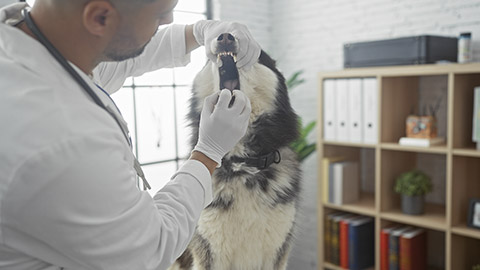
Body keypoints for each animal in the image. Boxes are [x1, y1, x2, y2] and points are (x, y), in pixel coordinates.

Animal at [171, 33, 302, 270]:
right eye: (208, 60)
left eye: (257, 53)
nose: (225, 36)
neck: (242, 164)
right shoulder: (210, 253)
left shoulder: (277, 253)